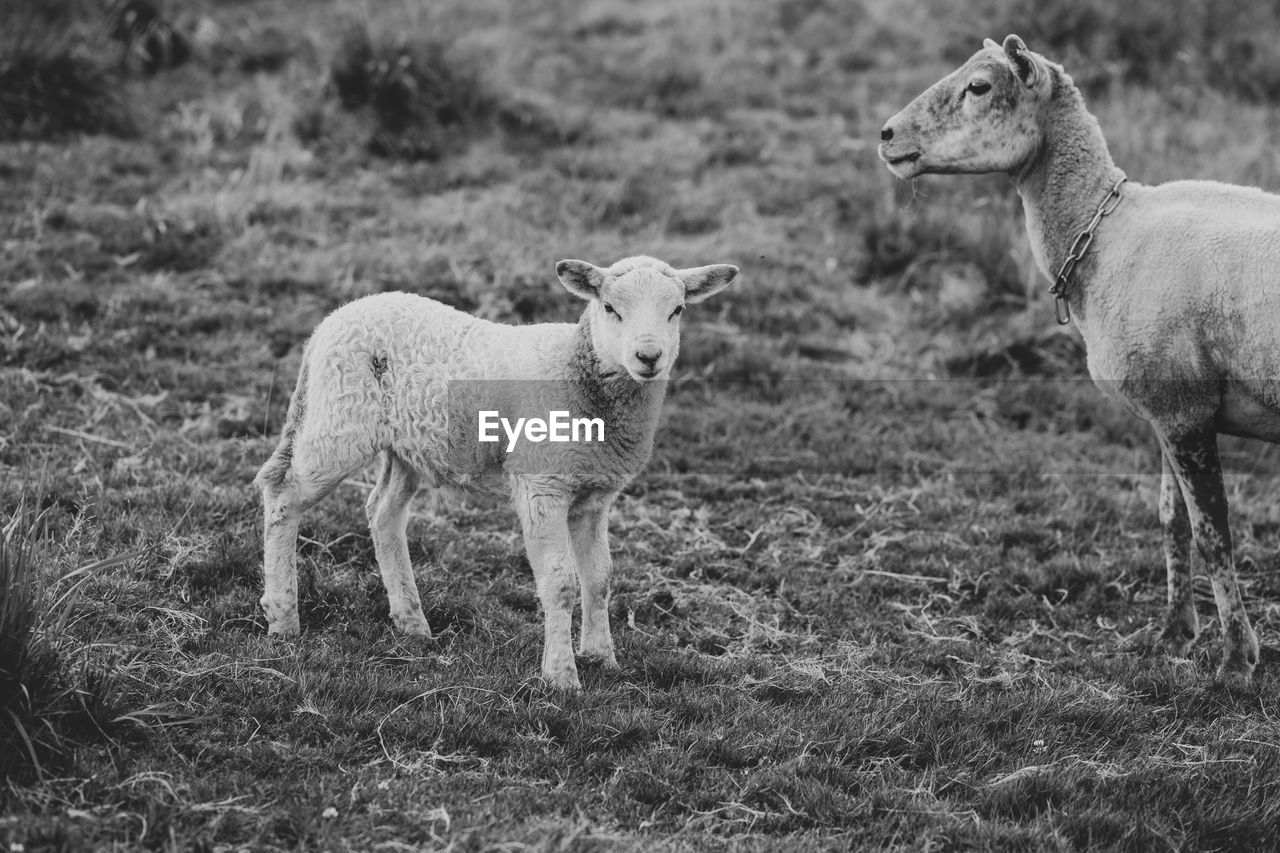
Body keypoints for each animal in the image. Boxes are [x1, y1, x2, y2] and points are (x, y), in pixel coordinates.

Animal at [257, 251, 742, 686]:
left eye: (677, 310)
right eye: (610, 308)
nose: (648, 357)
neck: (579, 374)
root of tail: (331, 321)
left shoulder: (595, 494)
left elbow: (599, 578)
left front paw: (602, 658)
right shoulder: (542, 482)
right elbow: (561, 582)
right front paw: (562, 676)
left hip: (410, 444)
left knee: (383, 512)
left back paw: (412, 624)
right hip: (339, 420)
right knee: (283, 492)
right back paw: (282, 617)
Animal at [880, 34, 1280, 686]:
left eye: (980, 87)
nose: (886, 135)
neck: (1104, 232)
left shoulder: (1185, 410)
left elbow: (1214, 531)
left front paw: (1235, 660)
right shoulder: (1170, 412)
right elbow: (1172, 521)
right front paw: (1173, 634)